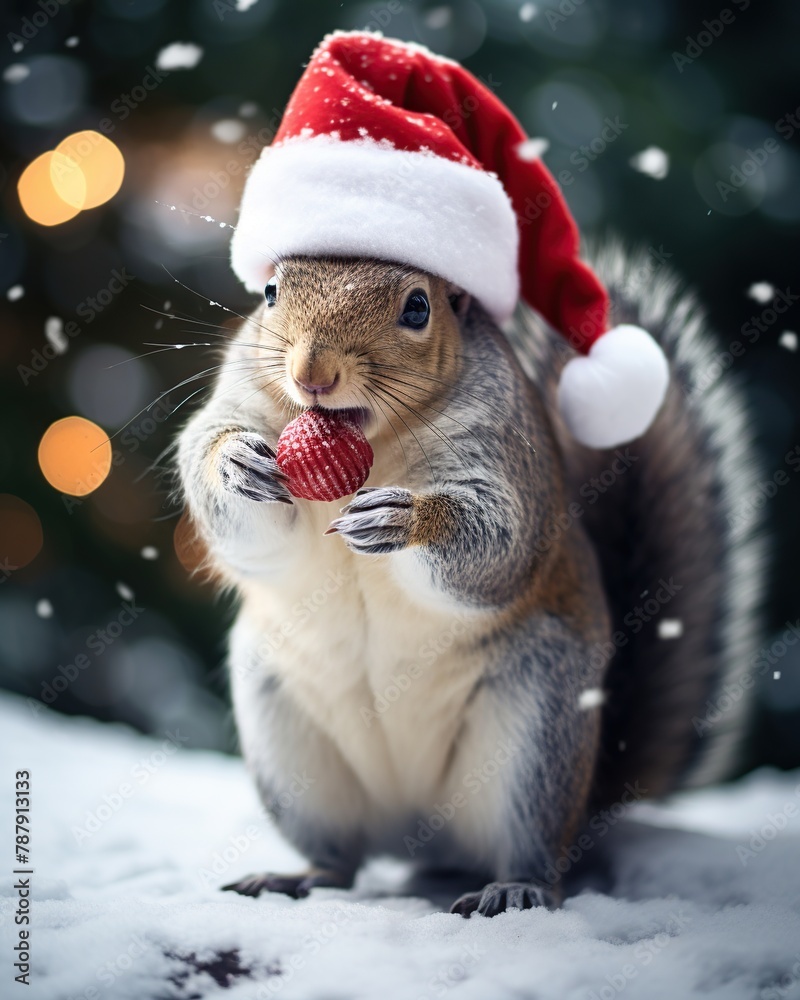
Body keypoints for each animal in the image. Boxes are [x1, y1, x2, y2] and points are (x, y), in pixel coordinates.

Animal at [175, 242, 764, 916]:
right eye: (271, 292)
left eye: (418, 307)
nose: (311, 375)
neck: (377, 437)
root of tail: (419, 836)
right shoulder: (240, 398)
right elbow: (237, 517)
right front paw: (234, 461)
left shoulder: (506, 455)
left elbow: (495, 544)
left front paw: (406, 519)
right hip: (289, 742)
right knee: (341, 860)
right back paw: (298, 876)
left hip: (537, 732)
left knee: (537, 853)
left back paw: (516, 886)